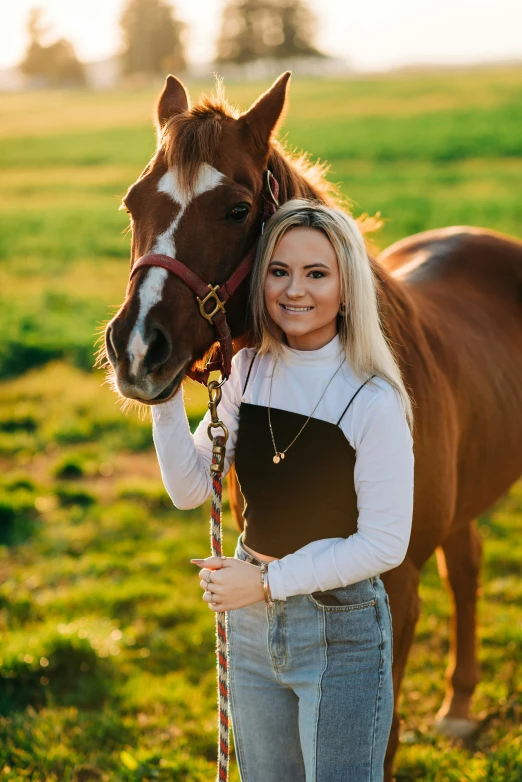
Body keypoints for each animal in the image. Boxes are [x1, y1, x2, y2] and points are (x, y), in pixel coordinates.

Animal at [103, 72, 520, 776]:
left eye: (237, 209)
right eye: (135, 203)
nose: (136, 349)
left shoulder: (396, 591)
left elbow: (384, 739)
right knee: (465, 564)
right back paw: (460, 704)